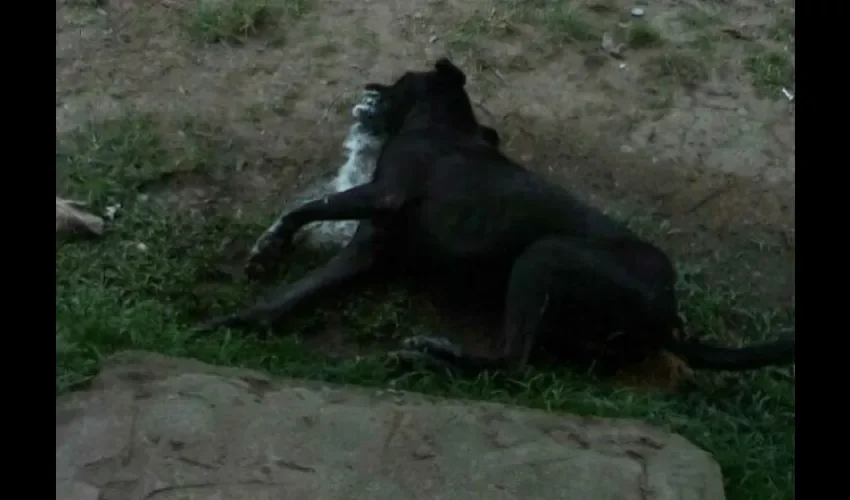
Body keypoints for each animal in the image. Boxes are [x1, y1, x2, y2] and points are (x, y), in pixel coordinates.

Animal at [197, 57, 788, 376]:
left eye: (400, 76)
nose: (367, 86)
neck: (441, 125)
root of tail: (670, 316)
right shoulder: (367, 250)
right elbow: (285, 298)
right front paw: (231, 322)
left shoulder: (386, 192)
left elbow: (305, 209)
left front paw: (269, 246)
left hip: (544, 257)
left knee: (511, 365)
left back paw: (429, 355)